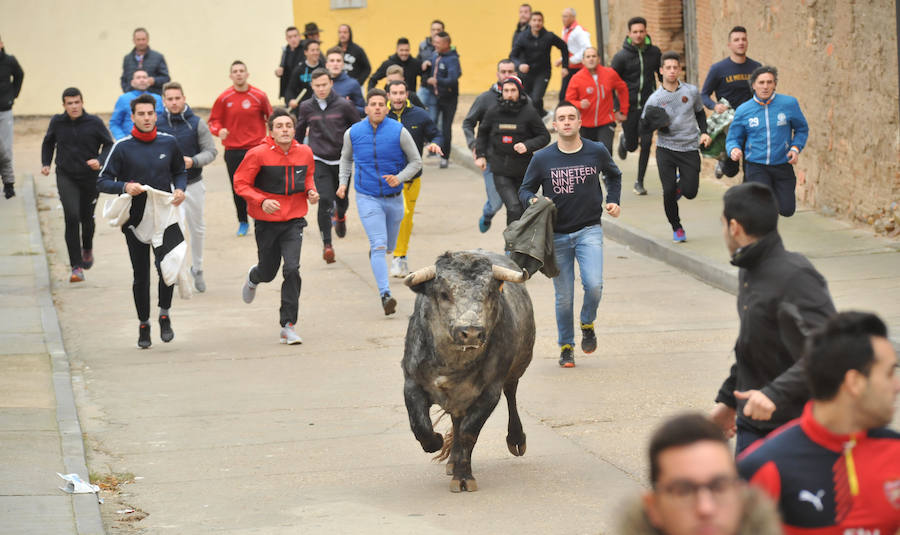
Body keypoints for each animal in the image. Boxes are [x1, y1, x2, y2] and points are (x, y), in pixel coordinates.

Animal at [400, 252, 536, 494]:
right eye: (444, 293)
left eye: (489, 292)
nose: (471, 332)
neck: (453, 362)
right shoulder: (412, 383)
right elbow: (420, 426)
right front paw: (436, 441)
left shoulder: (489, 393)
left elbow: (468, 433)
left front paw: (463, 477)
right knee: (455, 420)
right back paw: (452, 460)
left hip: (518, 366)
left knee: (510, 393)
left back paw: (515, 439)